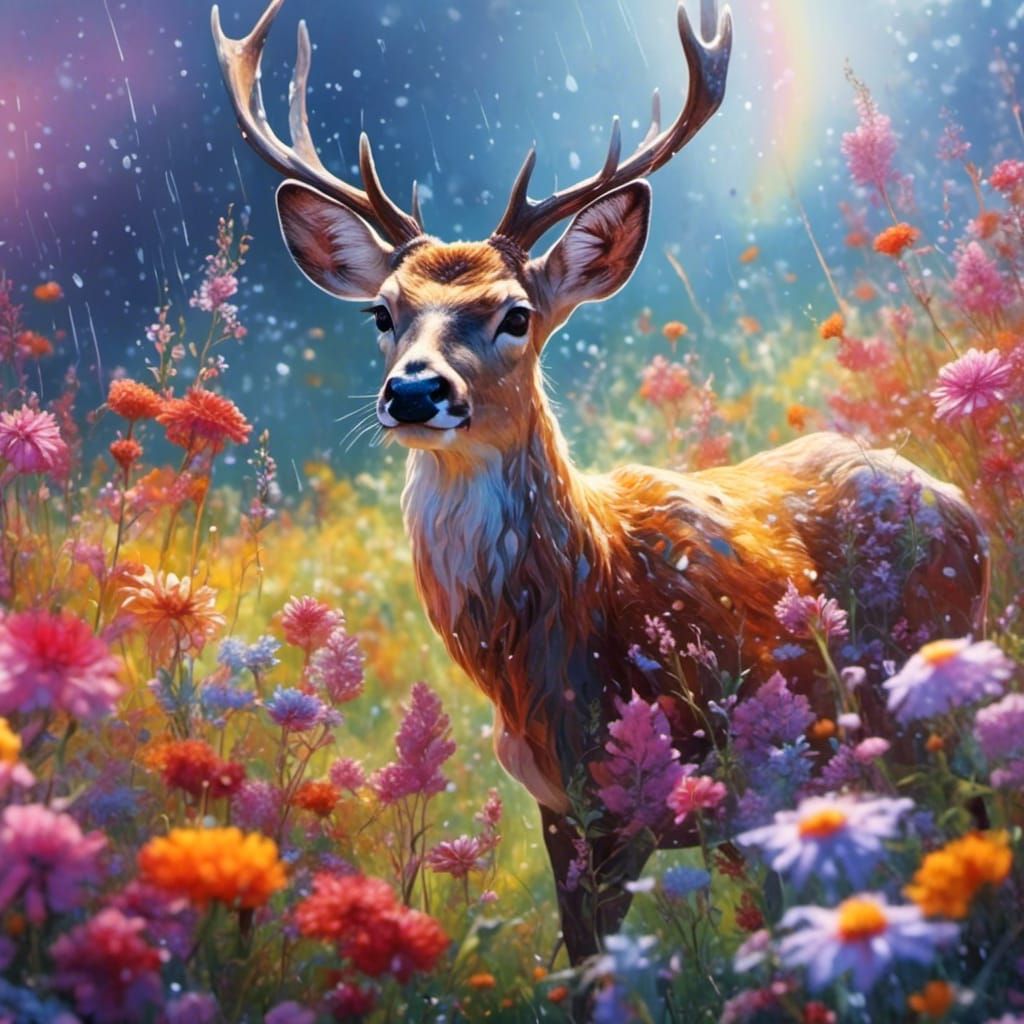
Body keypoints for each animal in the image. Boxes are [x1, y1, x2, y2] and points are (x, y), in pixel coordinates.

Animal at [213, 0, 989, 965]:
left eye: (515, 314)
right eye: (381, 312)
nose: (415, 391)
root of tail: (959, 502)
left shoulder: (677, 781)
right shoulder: (563, 805)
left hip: (919, 709)